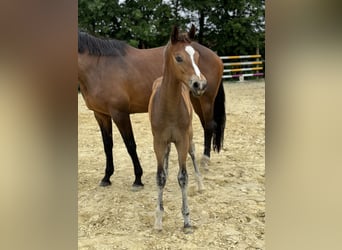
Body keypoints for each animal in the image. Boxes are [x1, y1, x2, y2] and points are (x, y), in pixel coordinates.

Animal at [148, 25, 206, 232]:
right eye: (179, 57)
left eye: (197, 56)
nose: (200, 84)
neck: (169, 105)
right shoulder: (158, 141)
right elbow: (160, 177)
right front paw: (158, 219)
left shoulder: (182, 140)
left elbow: (183, 177)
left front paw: (187, 220)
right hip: (165, 142)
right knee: (165, 159)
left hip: (189, 136)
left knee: (194, 153)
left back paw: (200, 184)